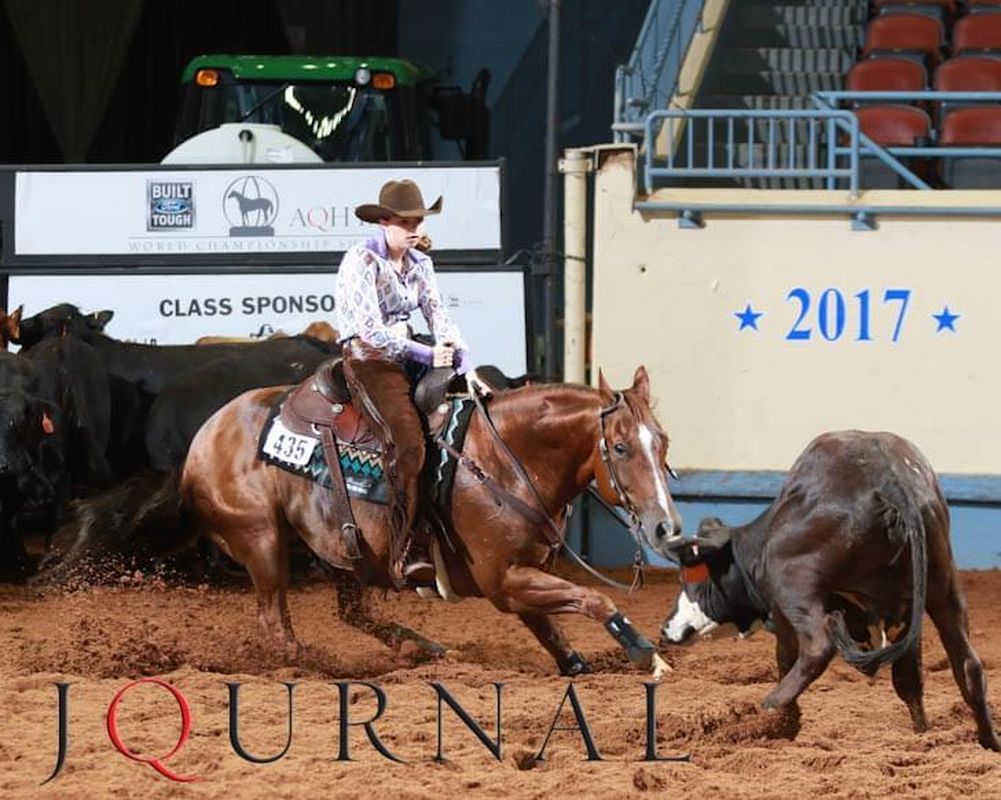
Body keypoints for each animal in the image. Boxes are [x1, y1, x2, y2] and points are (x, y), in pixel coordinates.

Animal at [52, 368, 688, 676]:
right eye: (621, 448)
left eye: (663, 441)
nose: (666, 530)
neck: (505, 458)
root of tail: (195, 451)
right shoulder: (502, 581)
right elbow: (594, 599)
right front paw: (646, 653)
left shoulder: (520, 577)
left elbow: (553, 626)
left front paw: (580, 661)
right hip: (262, 541)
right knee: (275, 623)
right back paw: (318, 664)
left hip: (347, 551)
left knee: (352, 612)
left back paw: (425, 649)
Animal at [660, 432, 996, 752]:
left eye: (691, 577)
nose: (667, 628)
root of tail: (892, 479)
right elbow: (909, 679)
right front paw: (922, 733)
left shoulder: (782, 613)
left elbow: (787, 658)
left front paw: (784, 722)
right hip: (944, 587)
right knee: (968, 665)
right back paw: (989, 742)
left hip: (794, 586)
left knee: (818, 647)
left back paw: (770, 706)